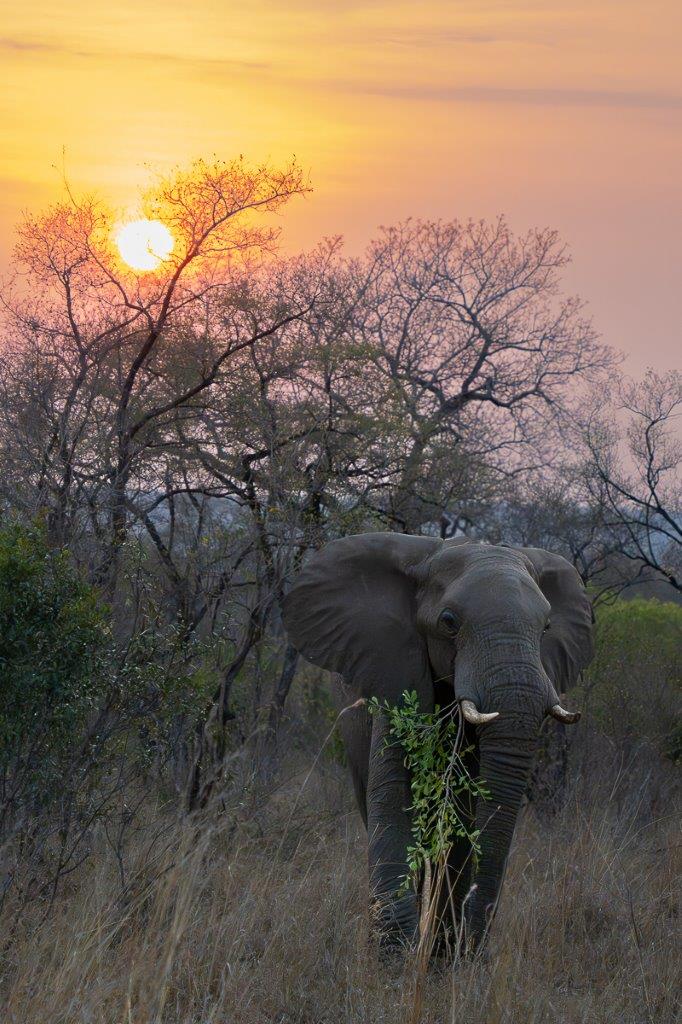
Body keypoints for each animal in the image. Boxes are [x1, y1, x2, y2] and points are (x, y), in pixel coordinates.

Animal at [282, 533, 594, 954]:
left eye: (546, 628)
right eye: (449, 623)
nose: (472, 948)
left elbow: (463, 815)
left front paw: (442, 956)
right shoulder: (393, 667)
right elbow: (394, 798)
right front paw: (395, 957)